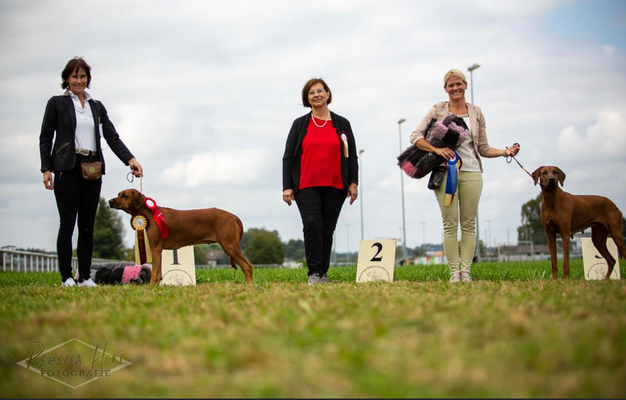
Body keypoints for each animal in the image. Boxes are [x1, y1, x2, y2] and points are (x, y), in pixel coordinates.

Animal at [108, 188, 252, 284]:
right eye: (118, 194)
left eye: (125, 196)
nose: (110, 201)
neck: (147, 213)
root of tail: (233, 216)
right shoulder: (159, 250)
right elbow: (158, 273)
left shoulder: (155, 248)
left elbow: (154, 273)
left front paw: (150, 287)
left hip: (230, 246)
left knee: (247, 266)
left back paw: (248, 287)